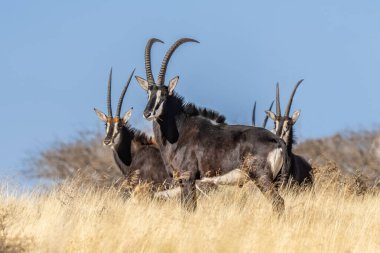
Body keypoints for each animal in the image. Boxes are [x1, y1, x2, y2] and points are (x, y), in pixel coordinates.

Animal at [136, 38, 290, 213]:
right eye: (148, 93)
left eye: (163, 94)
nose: (147, 113)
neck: (180, 131)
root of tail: (277, 140)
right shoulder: (182, 181)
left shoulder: (187, 177)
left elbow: (189, 208)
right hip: (274, 180)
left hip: (261, 177)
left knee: (278, 203)